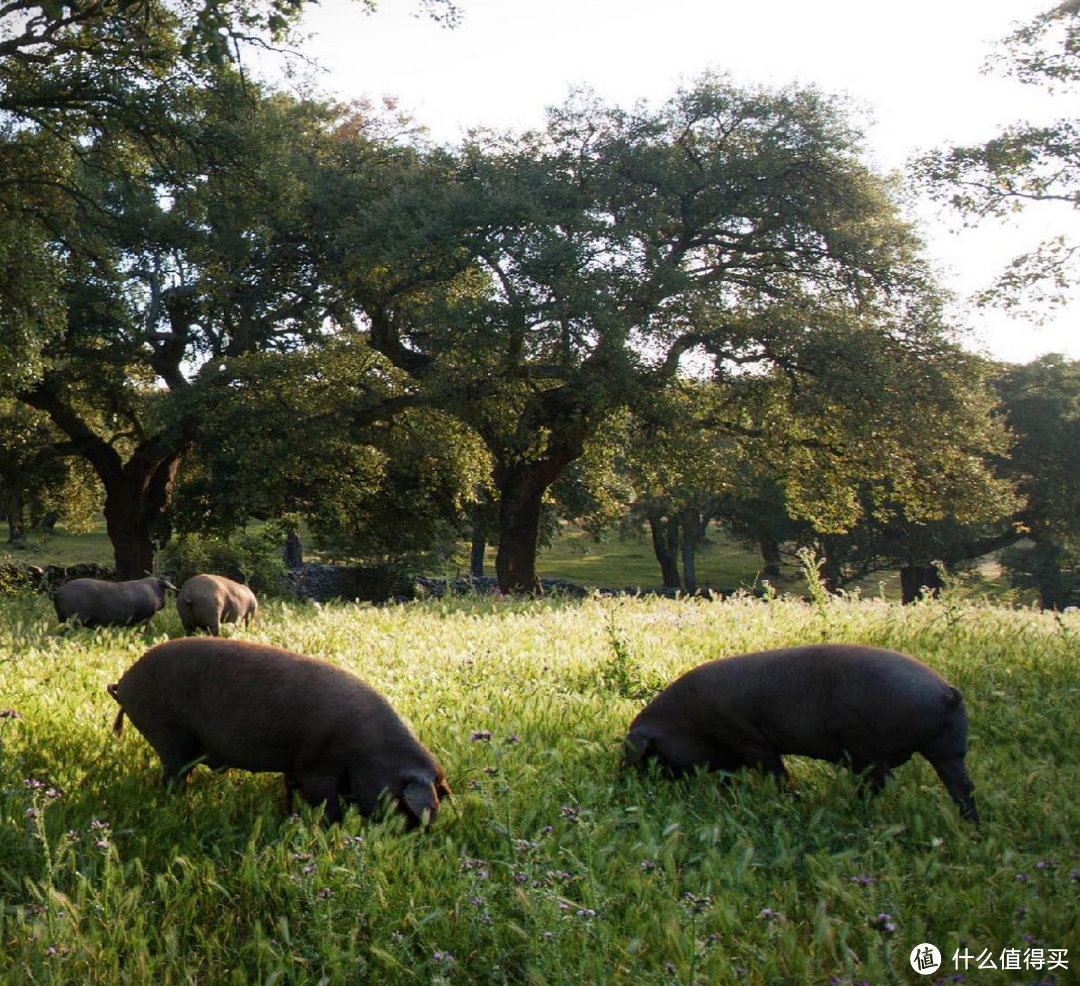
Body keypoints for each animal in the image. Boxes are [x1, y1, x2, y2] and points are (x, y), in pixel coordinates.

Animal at [106, 639, 451, 825]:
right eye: (403, 803)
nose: (412, 836)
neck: (368, 751)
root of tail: (125, 681)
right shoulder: (317, 769)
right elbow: (327, 806)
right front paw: (332, 828)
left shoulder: (295, 767)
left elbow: (291, 794)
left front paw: (290, 817)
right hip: (168, 734)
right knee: (174, 775)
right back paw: (178, 804)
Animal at [622, 643, 976, 820]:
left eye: (652, 752)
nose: (633, 782)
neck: (687, 721)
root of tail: (946, 692)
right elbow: (730, 778)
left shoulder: (743, 735)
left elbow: (773, 770)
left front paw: (790, 799)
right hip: (948, 749)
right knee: (963, 786)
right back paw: (970, 827)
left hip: (869, 748)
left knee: (880, 782)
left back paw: (852, 810)